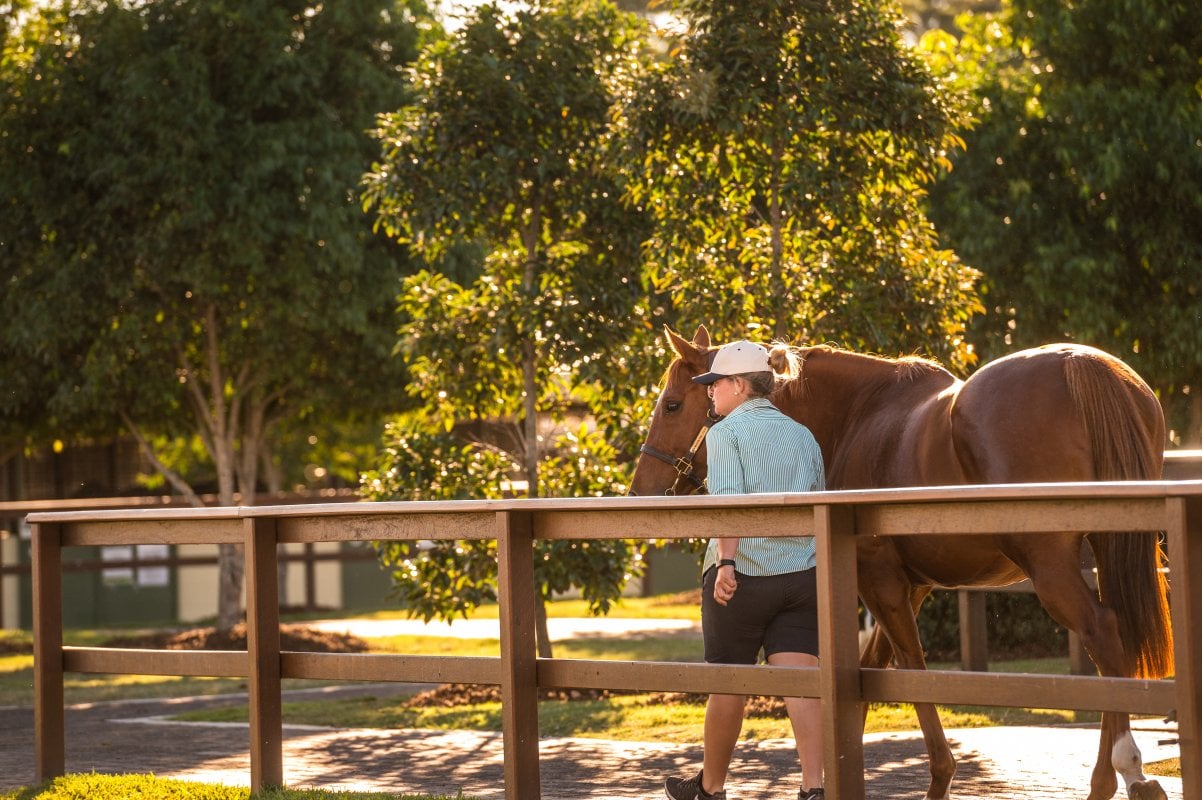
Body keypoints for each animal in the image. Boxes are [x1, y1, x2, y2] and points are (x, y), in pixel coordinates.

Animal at [629, 325, 1174, 800]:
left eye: (672, 404)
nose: (638, 491)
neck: (857, 419)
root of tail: (1079, 363)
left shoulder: (879, 580)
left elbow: (911, 667)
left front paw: (938, 777)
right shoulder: (910, 586)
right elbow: (873, 674)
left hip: (1050, 566)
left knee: (1104, 635)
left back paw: (1120, 774)